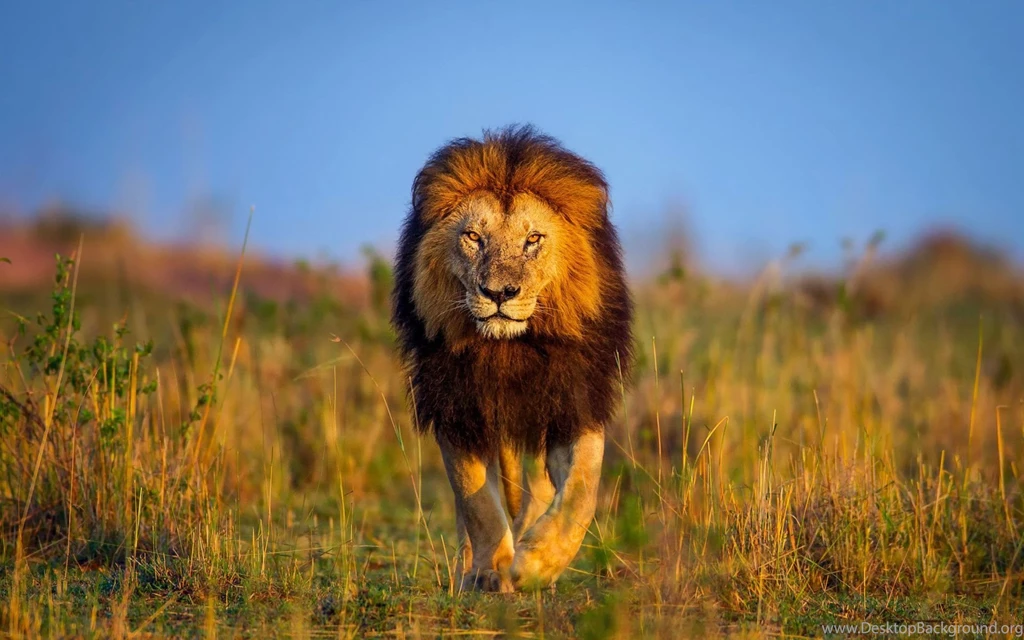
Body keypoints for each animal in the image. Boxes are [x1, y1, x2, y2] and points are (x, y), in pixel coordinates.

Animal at [391, 125, 634, 592]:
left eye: (533, 239)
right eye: (473, 237)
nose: (499, 293)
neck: (509, 349)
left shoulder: (572, 403)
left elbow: (582, 491)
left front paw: (536, 564)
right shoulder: (458, 406)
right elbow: (477, 502)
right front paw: (491, 570)